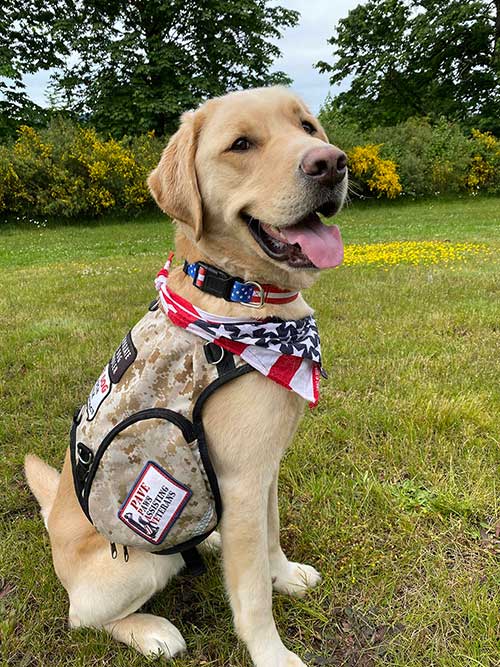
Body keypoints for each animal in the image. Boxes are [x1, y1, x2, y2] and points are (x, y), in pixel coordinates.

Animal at [24, 87, 348, 667]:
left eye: (308, 128)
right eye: (241, 145)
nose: (331, 164)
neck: (239, 297)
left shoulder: (261, 471)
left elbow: (270, 536)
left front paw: (285, 575)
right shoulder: (241, 480)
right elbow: (252, 595)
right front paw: (271, 653)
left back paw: (211, 541)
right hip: (143, 560)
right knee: (82, 616)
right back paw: (150, 630)